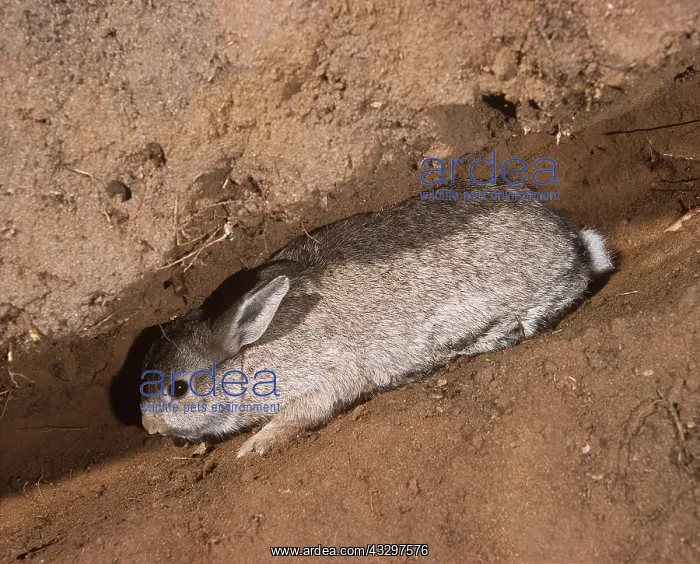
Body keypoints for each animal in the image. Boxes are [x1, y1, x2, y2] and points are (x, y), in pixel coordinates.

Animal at [140, 190, 614, 457]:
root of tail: (575, 248)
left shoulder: (324, 377)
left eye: (179, 389)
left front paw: (255, 446)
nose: (150, 427)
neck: (248, 352)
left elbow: (304, 413)